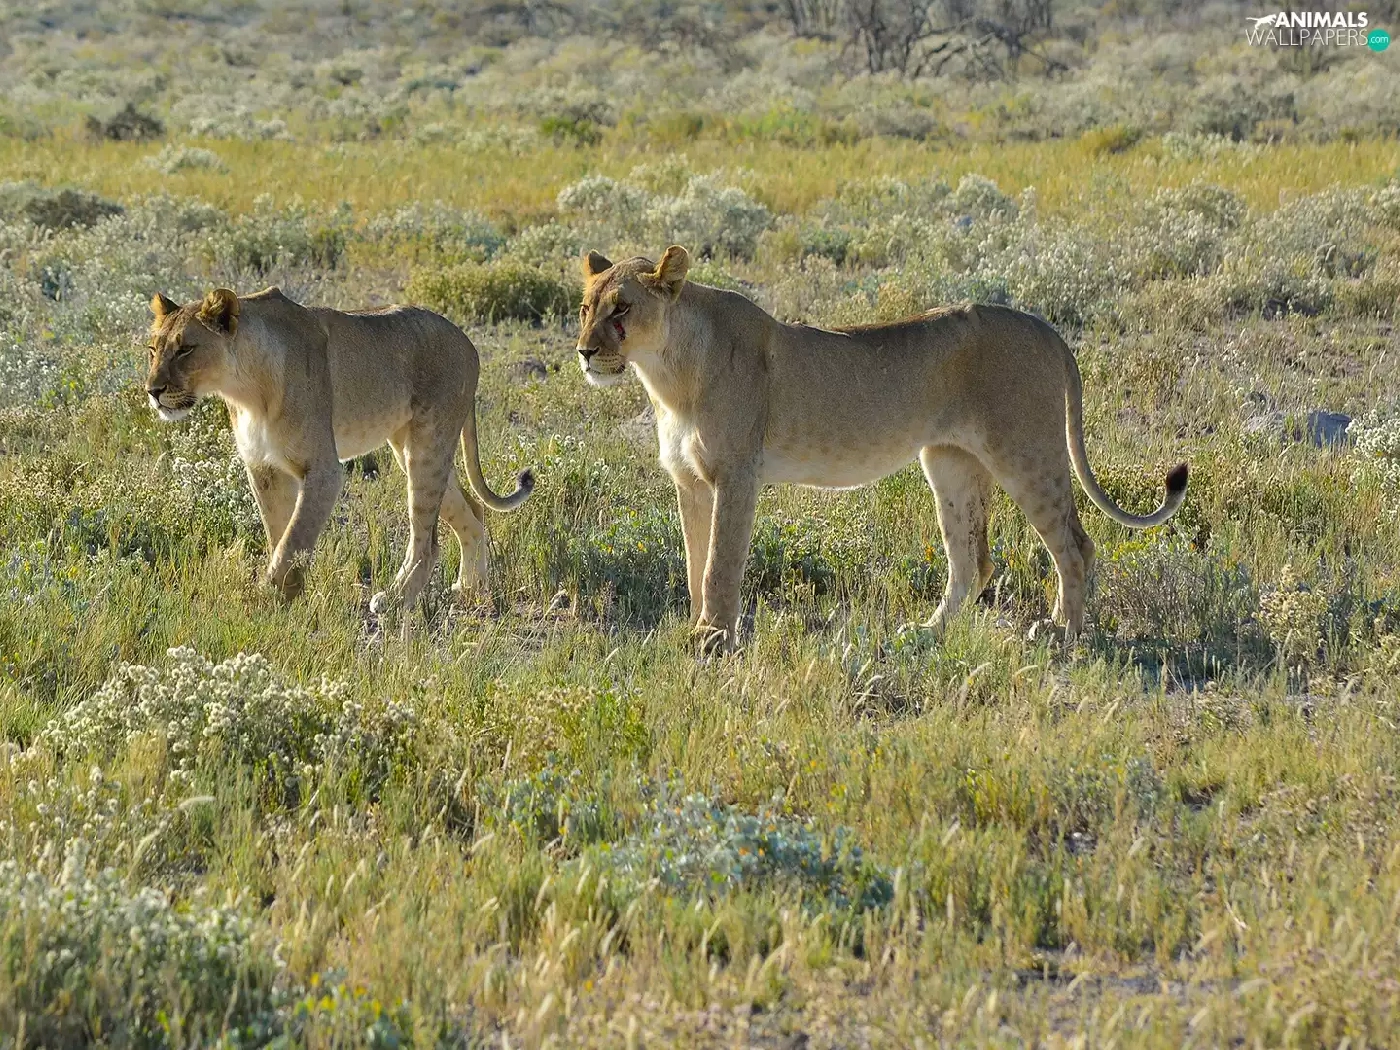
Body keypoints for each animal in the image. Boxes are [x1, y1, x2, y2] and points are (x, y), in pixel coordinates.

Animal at [145, 287, 534, 610]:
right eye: (152, 350)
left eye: (185, 349)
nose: (152, 391)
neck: (245, 390)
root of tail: (466, 340)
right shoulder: (263, 468)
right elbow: (279, 535)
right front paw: (288, 592)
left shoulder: (324, 470)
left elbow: (293, 538)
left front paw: (269, 598)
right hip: (410, 447)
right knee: (472, 511)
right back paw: (470, 590)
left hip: (428, 445)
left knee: (428, 542)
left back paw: (396, 599)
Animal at [576, 246, 1187, 653]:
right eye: (585, 307)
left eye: (622, 309)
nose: (583, 352)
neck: (666, 374)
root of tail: (1044, 326)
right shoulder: (690, 481)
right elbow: (693, 560)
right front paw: (697, 627)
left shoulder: (736, 476)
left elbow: (719, 565)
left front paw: (712, 639)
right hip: (950, 463)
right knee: (974, 560)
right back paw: (930, 633)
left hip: (1026, 453)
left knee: (1075, 545)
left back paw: (1064, 635)